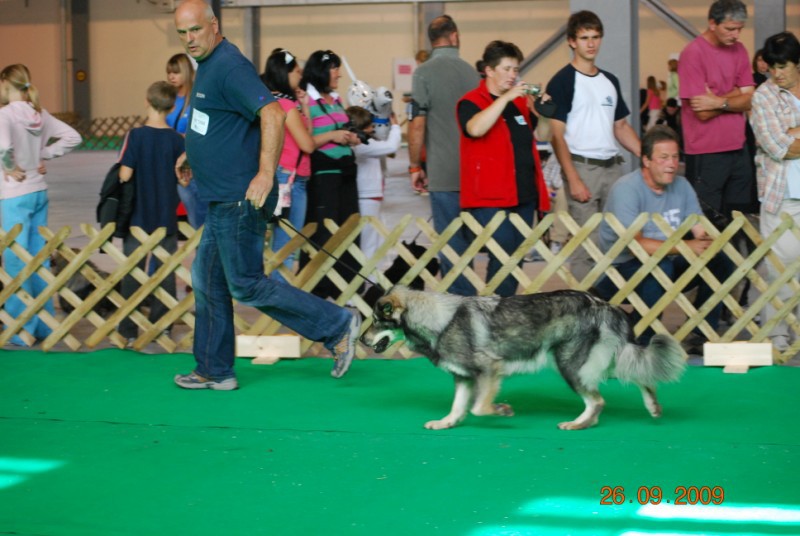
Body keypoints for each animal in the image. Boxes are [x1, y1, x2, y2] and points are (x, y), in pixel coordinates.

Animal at [360, 284, 684, 432]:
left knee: (598, 400)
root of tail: (604, 305)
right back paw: (652, 407)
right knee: (640, 375)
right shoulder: (463, 377)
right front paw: (446, 423)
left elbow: (478, 407)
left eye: (376, 321)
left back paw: (577, 424)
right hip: (598, 362)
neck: (440, 320)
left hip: (570, 366)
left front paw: (501, 410)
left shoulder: (488, 369)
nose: (360, 340)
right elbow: (458, 407)